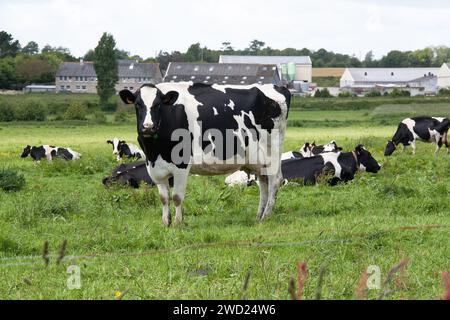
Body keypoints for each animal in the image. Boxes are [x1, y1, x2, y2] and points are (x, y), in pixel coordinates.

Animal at [118, 82, 290, 228]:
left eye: (158, 105)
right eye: (138, 105)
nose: (148, 127)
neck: (155, 150)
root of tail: (278, 87)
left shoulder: (181, 165)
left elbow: (177, 197)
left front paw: (178, 223)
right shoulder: (154, 167)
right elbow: (164, 198)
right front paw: (166, 222)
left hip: (273, 154)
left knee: (275, 181)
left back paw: (267, 216)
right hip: (259, 160)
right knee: (263, 184)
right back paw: (259, 216)